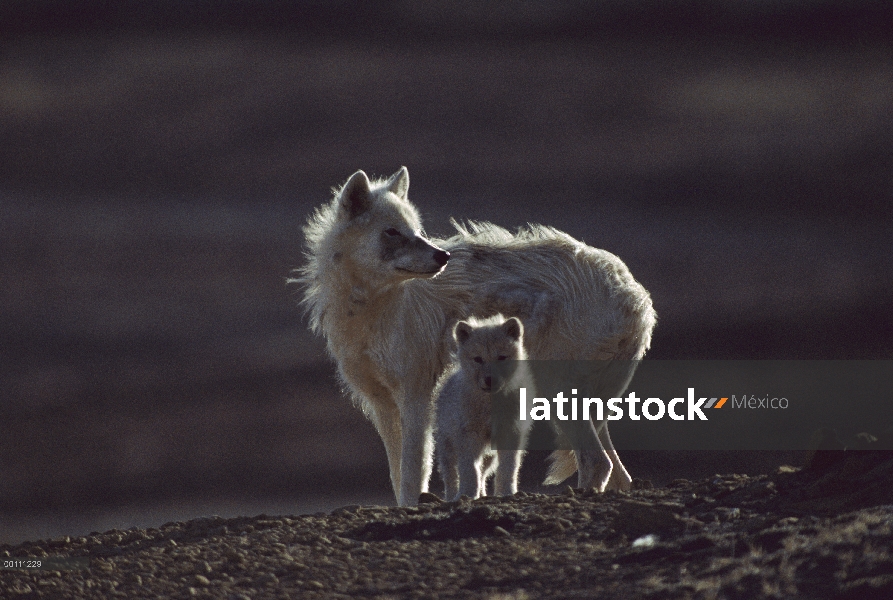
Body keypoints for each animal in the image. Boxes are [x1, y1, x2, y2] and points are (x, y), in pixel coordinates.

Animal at [436, 314, 532, 502]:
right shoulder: (468, 437)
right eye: (478, 359)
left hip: (489, 456)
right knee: (451, 476)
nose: (490, 379)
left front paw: (507, 493)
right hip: (448, 449)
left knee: (483, 474)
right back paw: (452, 498)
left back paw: (482, 495)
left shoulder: (510, 434)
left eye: (501, 357)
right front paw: (466, 496)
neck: (490, 406)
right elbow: (469, 471)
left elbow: (507, 470)